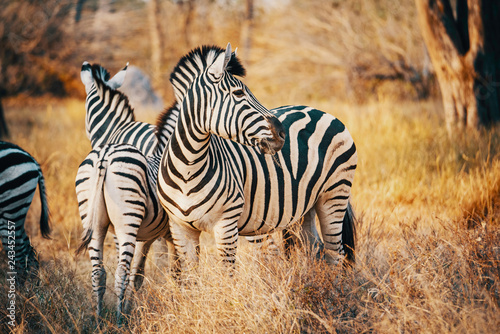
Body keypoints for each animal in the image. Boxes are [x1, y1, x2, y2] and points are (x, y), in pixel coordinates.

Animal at [0, 140, 51, 284]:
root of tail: (30, 158)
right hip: (17, 212)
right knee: (29, 251)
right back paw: (34, 286)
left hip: (10, 210)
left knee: (18, 255)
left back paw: (21, 289)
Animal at [158, 43, 358, 274]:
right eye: (238, 93)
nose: (282, 133)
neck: (188, 169)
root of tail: (321, 111)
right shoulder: (180, 228)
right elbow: (191, 276)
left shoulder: (226, 225)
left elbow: (228, 274)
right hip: (306, 205)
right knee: (314, 247)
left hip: (334, 194)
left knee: (336, 254)